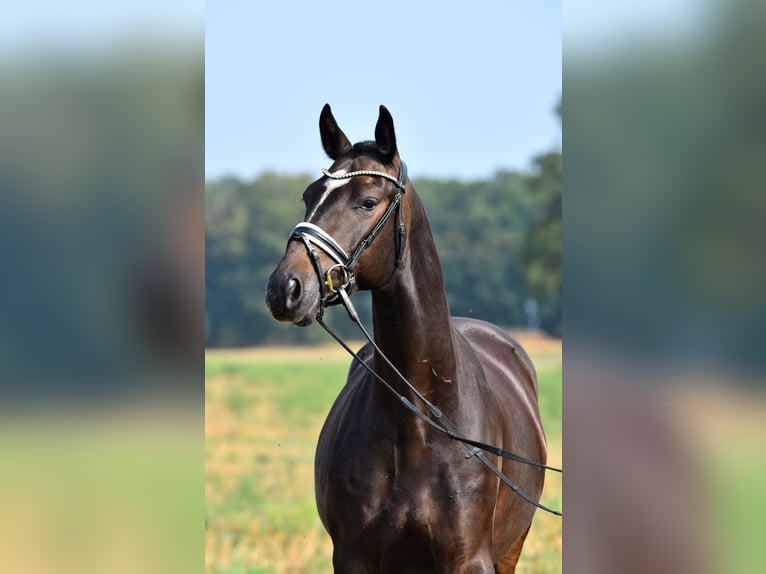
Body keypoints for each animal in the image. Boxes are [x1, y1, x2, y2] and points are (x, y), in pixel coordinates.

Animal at [268, 106, 548, 572]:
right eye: (309, 196)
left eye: (367, 201)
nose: (285, 288)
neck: (420, 424)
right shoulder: (354, 558)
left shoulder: (469, 559)